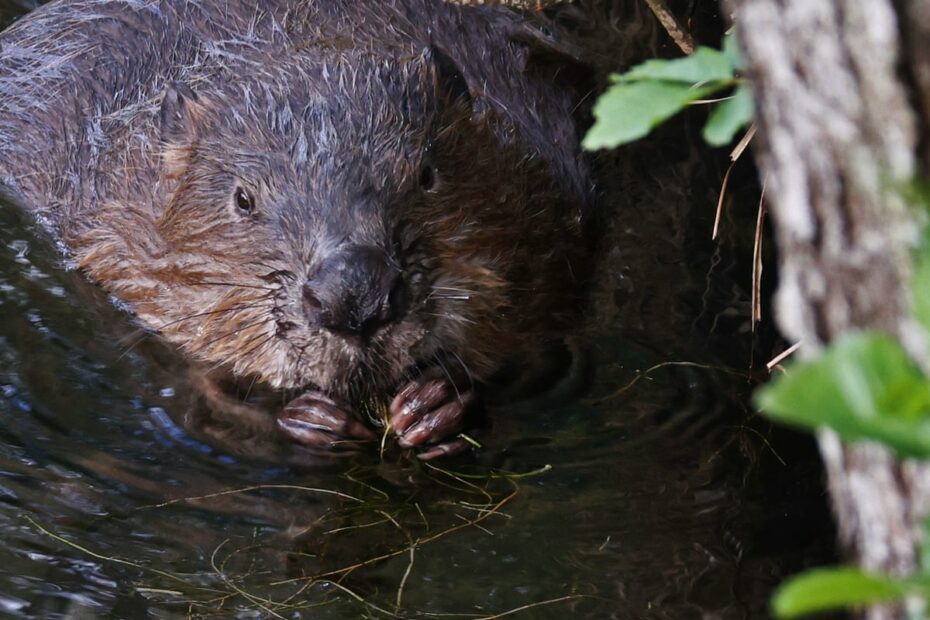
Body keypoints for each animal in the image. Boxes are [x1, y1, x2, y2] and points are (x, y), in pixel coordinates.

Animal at [0, 1, 592, 460]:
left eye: (427, 174)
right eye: (243, 199)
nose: (353, 297)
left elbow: (544, 352)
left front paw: (435, 404)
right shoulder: (111, 231)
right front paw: (312, 419)